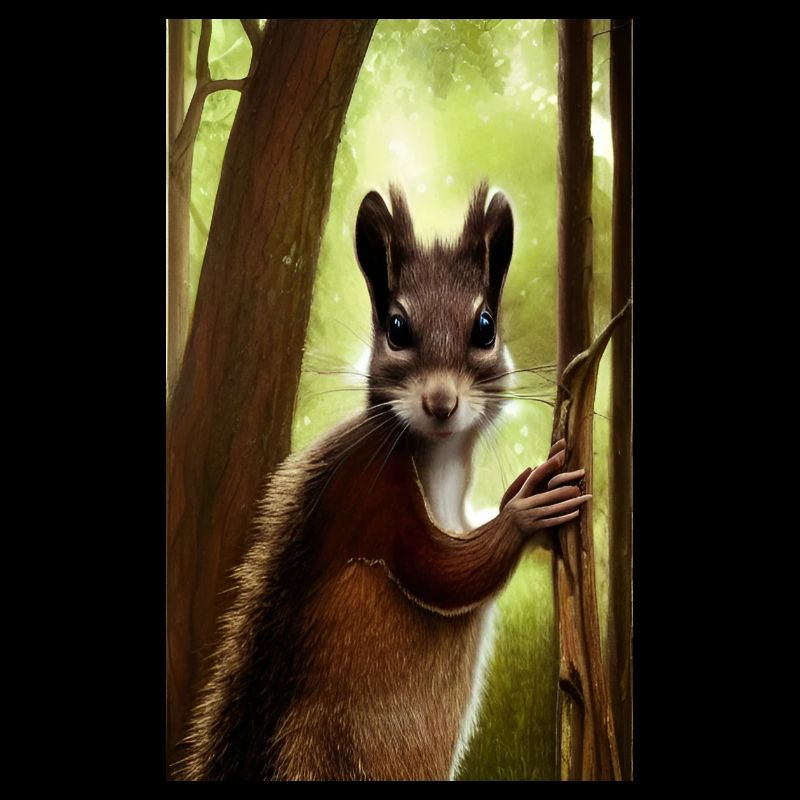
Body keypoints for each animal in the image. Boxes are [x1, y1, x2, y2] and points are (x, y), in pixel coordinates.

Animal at [178, 181, 590, 781]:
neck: (441, 462)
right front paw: (528, 508)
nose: (441, 403)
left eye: (485, 326)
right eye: (397, 329)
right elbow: (441, 572)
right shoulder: (370, 492)